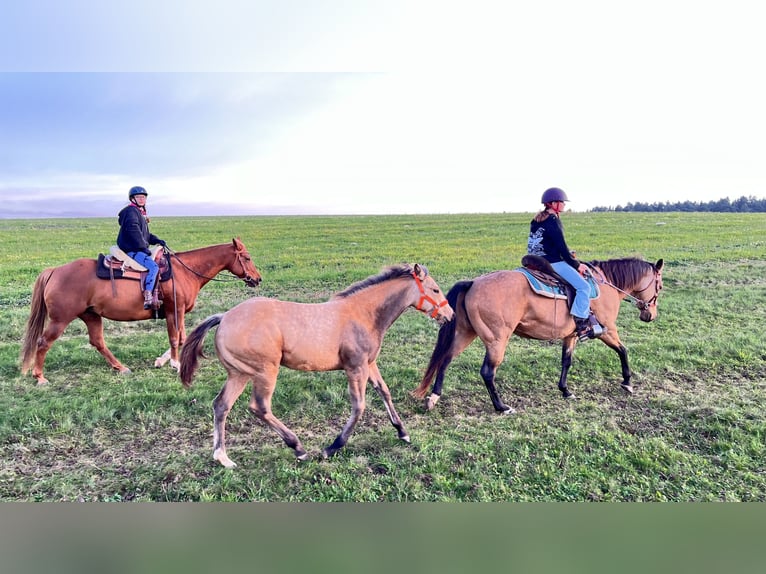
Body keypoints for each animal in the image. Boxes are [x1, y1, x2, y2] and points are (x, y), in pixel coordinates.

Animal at [19, 238, 262, 388]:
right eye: (247, 257)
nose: (257, 279)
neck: (185, 271)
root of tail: (54, 271)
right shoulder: (174, 311)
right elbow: (175, 338)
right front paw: (175, 364)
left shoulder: (179, 312)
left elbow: (182, 337)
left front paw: (162, 361)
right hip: (60, 320)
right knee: (43, 342)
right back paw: (40, 377)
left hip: (91, 315)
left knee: (98, 342)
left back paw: (121, 368)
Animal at [180, 264, 456, 468]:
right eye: (435, 289)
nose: (450, 315)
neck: (364, 314)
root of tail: (224, 317)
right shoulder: (356, 367)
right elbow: (359, 406)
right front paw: (331, 448)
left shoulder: (369, 364)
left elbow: (385, 392)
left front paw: (403, 432)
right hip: (265, 371)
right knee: (259, 407)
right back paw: (299, 448)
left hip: (239, 373)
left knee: (221, 405)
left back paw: (223, 458)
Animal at [414, 258, 664, 414]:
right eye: (659, 286)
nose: (650, 315)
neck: (607, 285)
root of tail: (473, 282)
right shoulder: (608, 330)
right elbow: (623, 350)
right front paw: (627, 382)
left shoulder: (570, 335)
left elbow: (566, 361)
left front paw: (565, 390)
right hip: (497, 341)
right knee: (487, 372)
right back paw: (502, 407)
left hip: (466, 333)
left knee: (445, 360)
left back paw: (433, 397)